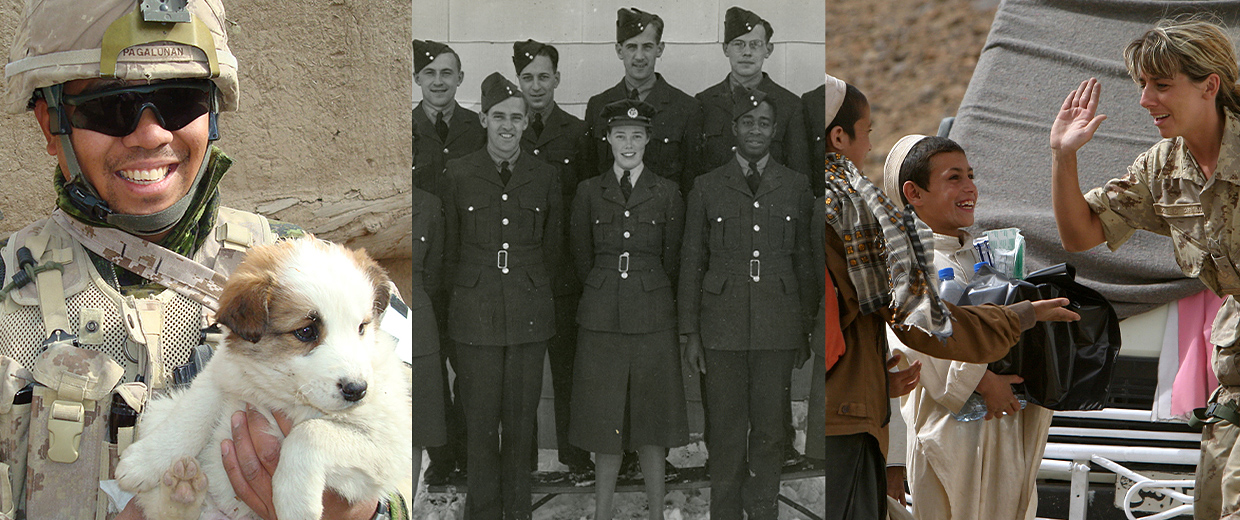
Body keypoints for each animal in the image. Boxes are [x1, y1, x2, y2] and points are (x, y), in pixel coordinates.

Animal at [114, 238, 411, 518]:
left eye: (362, 327)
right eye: (306, 331)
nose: (357, 390)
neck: (283, 393)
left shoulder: (391, 443)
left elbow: (309, 432)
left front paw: (295, 504)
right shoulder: (219, 375)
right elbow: (190, 418)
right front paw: (143, 461)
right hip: (161, 409)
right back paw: (180, 490)